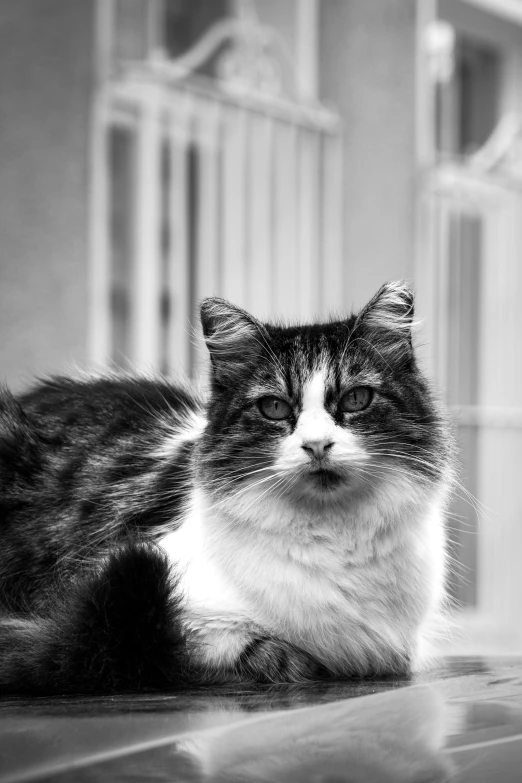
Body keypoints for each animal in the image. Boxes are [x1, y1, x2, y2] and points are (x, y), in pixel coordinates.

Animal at [0, 282, 450, 692]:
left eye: (357, 399)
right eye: (274, 407)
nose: (317, 445)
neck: (336, 536)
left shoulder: (400, 646)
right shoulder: (127, 596)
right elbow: (243, 648)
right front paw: (290, 660)